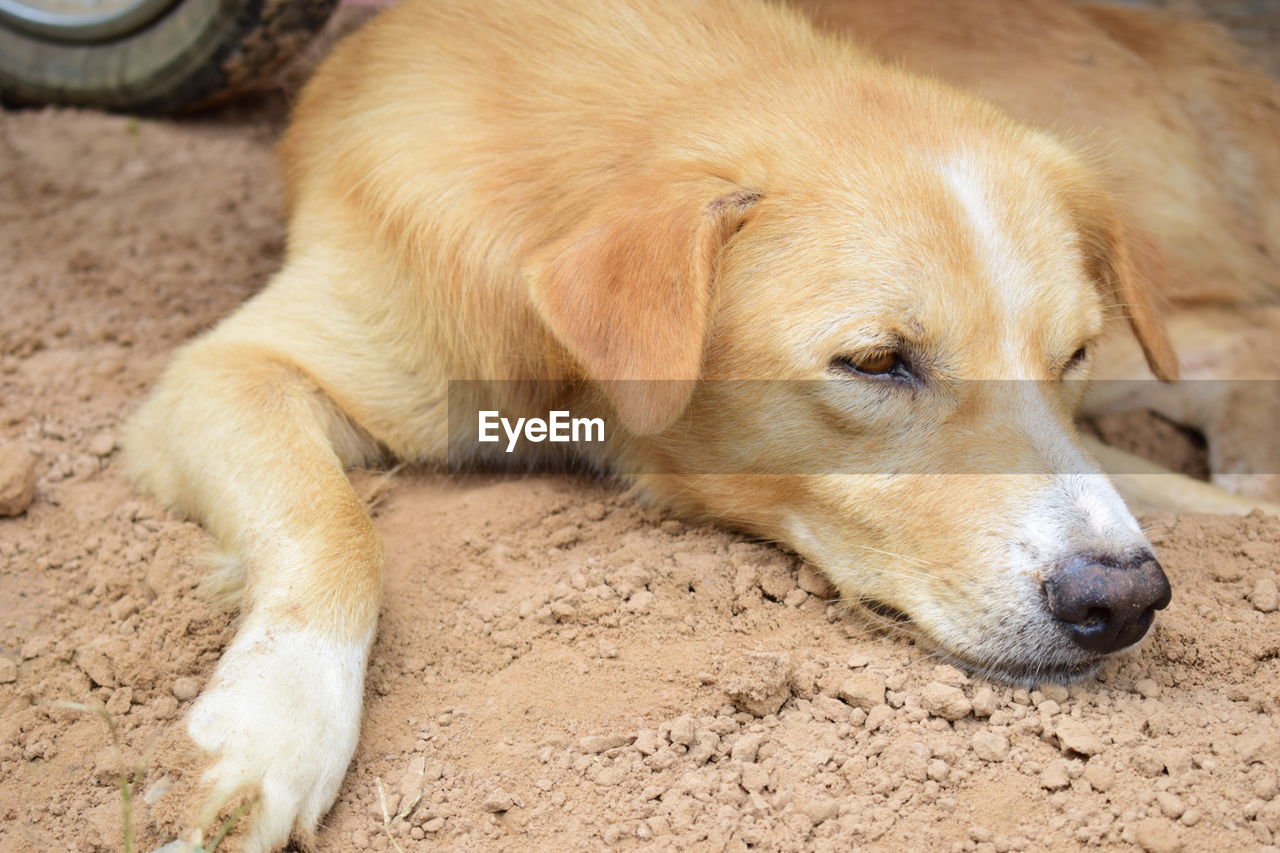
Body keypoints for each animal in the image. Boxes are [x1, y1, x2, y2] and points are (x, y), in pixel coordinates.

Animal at [124, 0, 1280, 845]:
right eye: (876, 362)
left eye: (1067, 354)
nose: (1121, 599)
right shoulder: (229, 367)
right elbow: (335, 524)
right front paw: (272, 728)